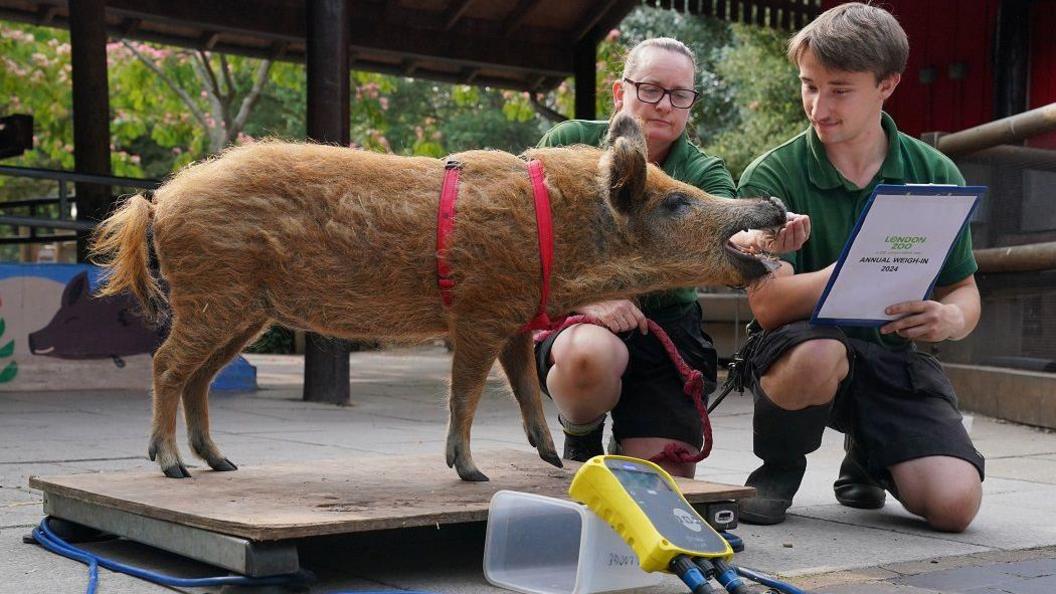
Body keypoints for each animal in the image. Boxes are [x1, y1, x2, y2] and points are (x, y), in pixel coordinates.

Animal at [90, 112, 785, 481]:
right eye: (675, 202)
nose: (774, 204)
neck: (559, 233)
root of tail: (159, 200)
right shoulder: (479, 311)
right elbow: (467, 391)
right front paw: (472, 472)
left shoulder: (513, 319)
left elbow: (526, 389)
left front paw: (552, 461)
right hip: (214, 294)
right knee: (166, 365)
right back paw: (172, 466)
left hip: (245, 312)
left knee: (200, 378)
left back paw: (222, 465)